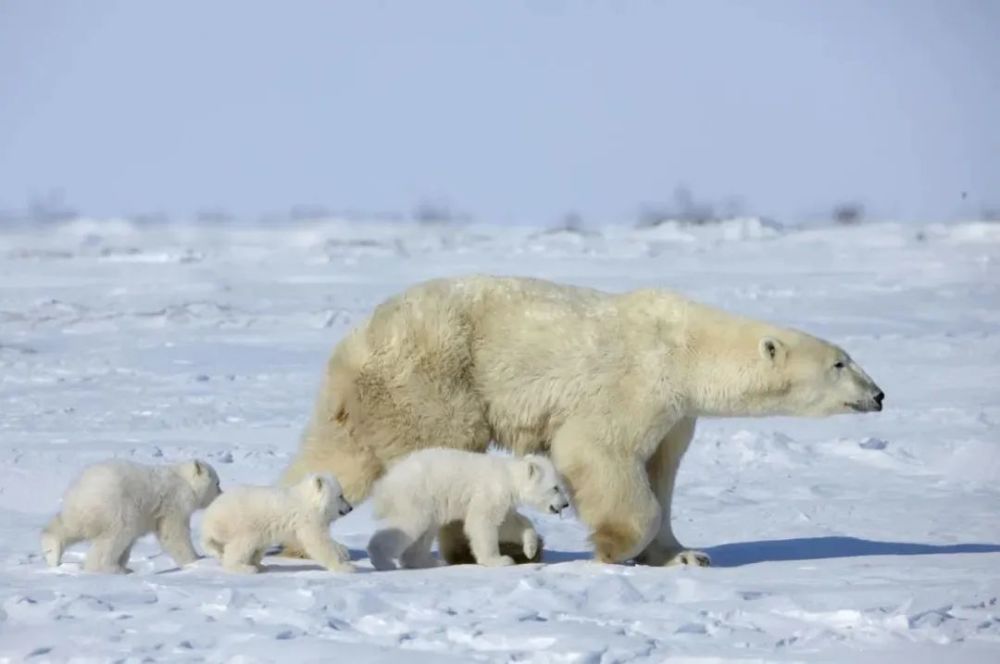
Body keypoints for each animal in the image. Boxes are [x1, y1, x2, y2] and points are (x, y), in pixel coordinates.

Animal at [280, 274, 884, 564]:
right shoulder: (636, 381)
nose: (879, 395)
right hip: (434, 377)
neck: (686, 347)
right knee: (440, 449)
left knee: (339, 448)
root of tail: (360, 335)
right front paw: (614, 548)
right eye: (840, 363)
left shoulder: (675, 415)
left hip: (374, 392)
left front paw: (685, 556)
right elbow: (603, 454)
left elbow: (662, 475)